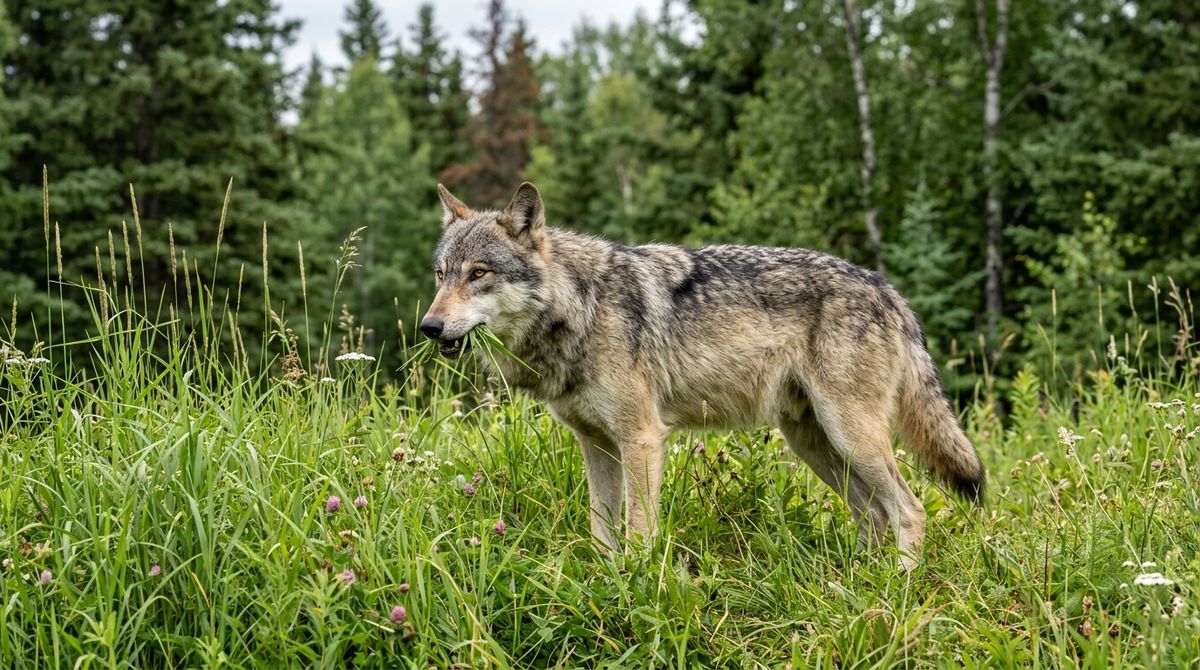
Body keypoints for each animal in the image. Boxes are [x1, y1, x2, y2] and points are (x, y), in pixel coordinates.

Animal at [420, 182, 984, 569]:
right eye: (442, 275)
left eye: (479, 274)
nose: (429, 326)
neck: (581, 307)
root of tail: (888, 289)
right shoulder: (596, 444)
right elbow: (601, 529)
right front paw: (602, 581)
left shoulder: (642, 439)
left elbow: (639, 528)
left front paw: (636, 584)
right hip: (815, 443)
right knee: (874, 514)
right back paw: (858, 582)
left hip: (850, 436)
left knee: (910, 509)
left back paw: (897, 587)